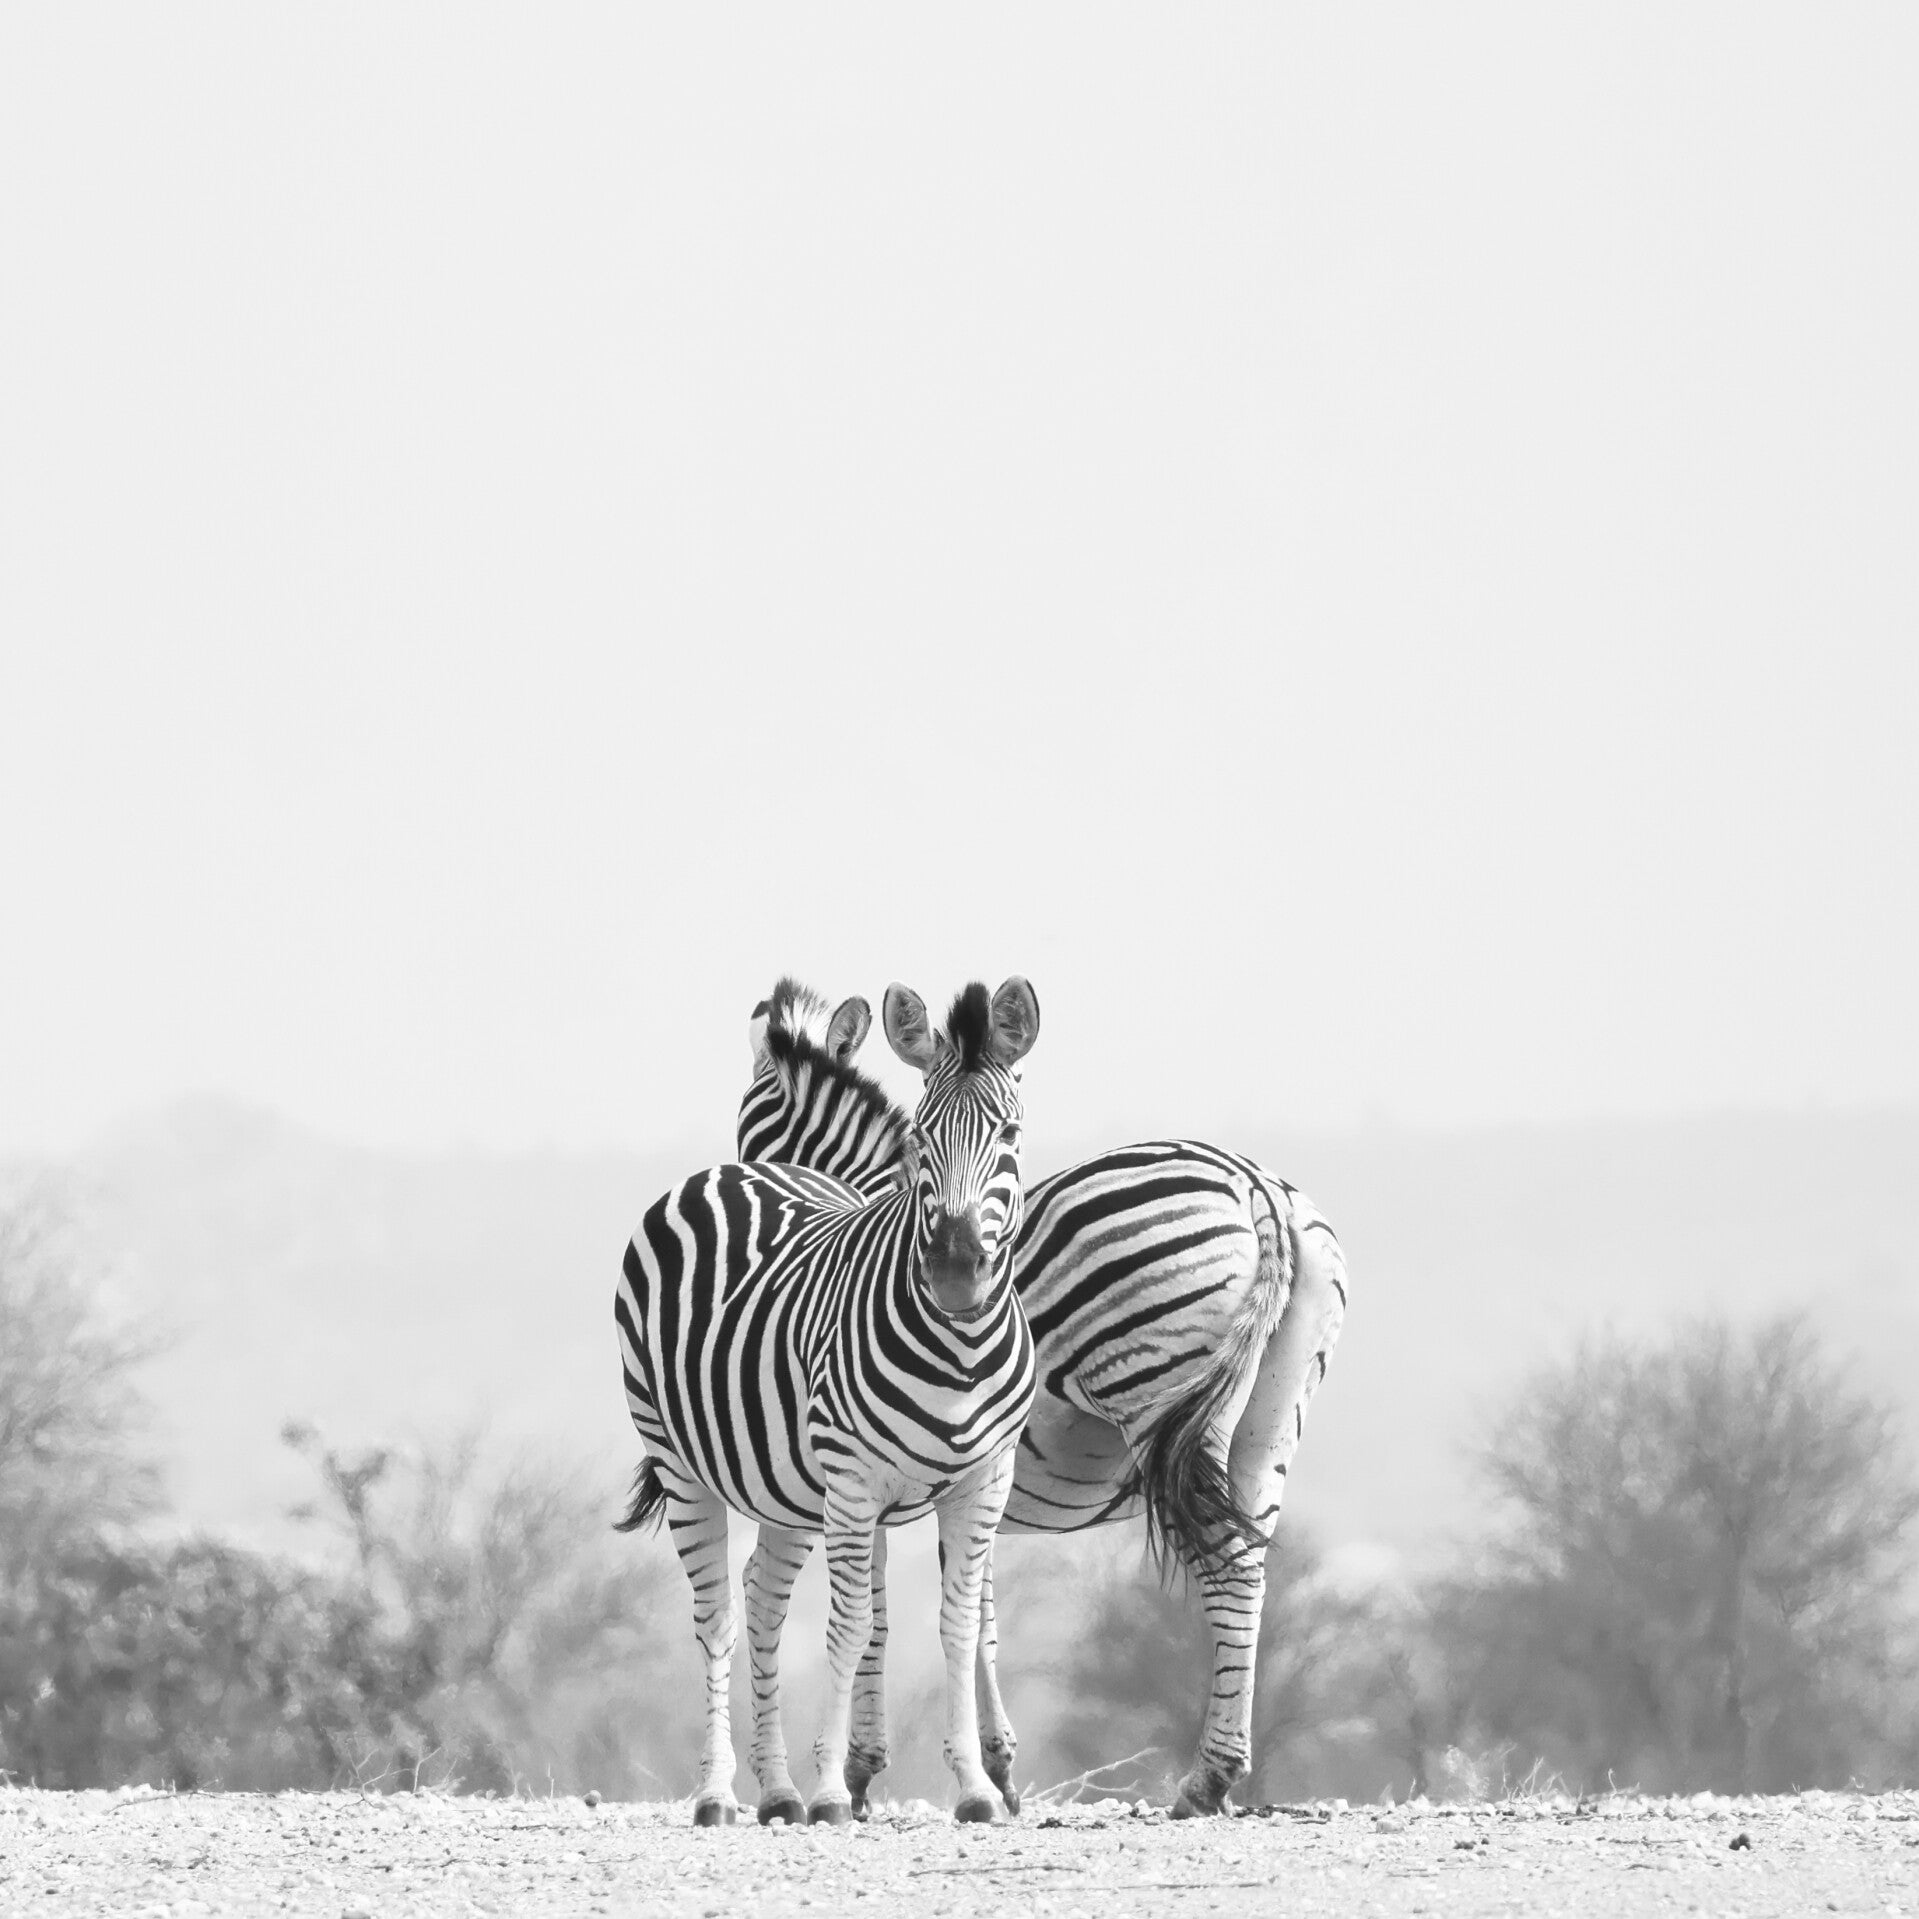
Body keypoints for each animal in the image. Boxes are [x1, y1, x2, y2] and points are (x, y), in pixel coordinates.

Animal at [615, 977, 1042, 1825]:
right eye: (922, 1137)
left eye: (1009, 1132)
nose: (955, 1274)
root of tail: (718, 1179)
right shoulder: (854, 1485)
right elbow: (856, 1625)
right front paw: (841, 1782)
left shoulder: (982, 1479)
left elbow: (958, 1621)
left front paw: (979, 1783)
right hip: (679, 1459)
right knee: (717, 1617)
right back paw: (720, 1791)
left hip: (782, 1490)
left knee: (761, 1601)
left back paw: (777, 1788)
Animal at [732, 977, 1349, 1818]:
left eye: (750, 1125)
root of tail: (1259, 1192)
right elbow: (978, 1612)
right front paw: (995, 1766)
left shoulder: (881, 1467)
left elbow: (887, 1612)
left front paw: (865, 1768)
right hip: (1271, 1414)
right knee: (1249, 1564)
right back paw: (1218, 1768)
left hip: (1160, 1397)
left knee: (1225, 1562)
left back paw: (1205, 1778)